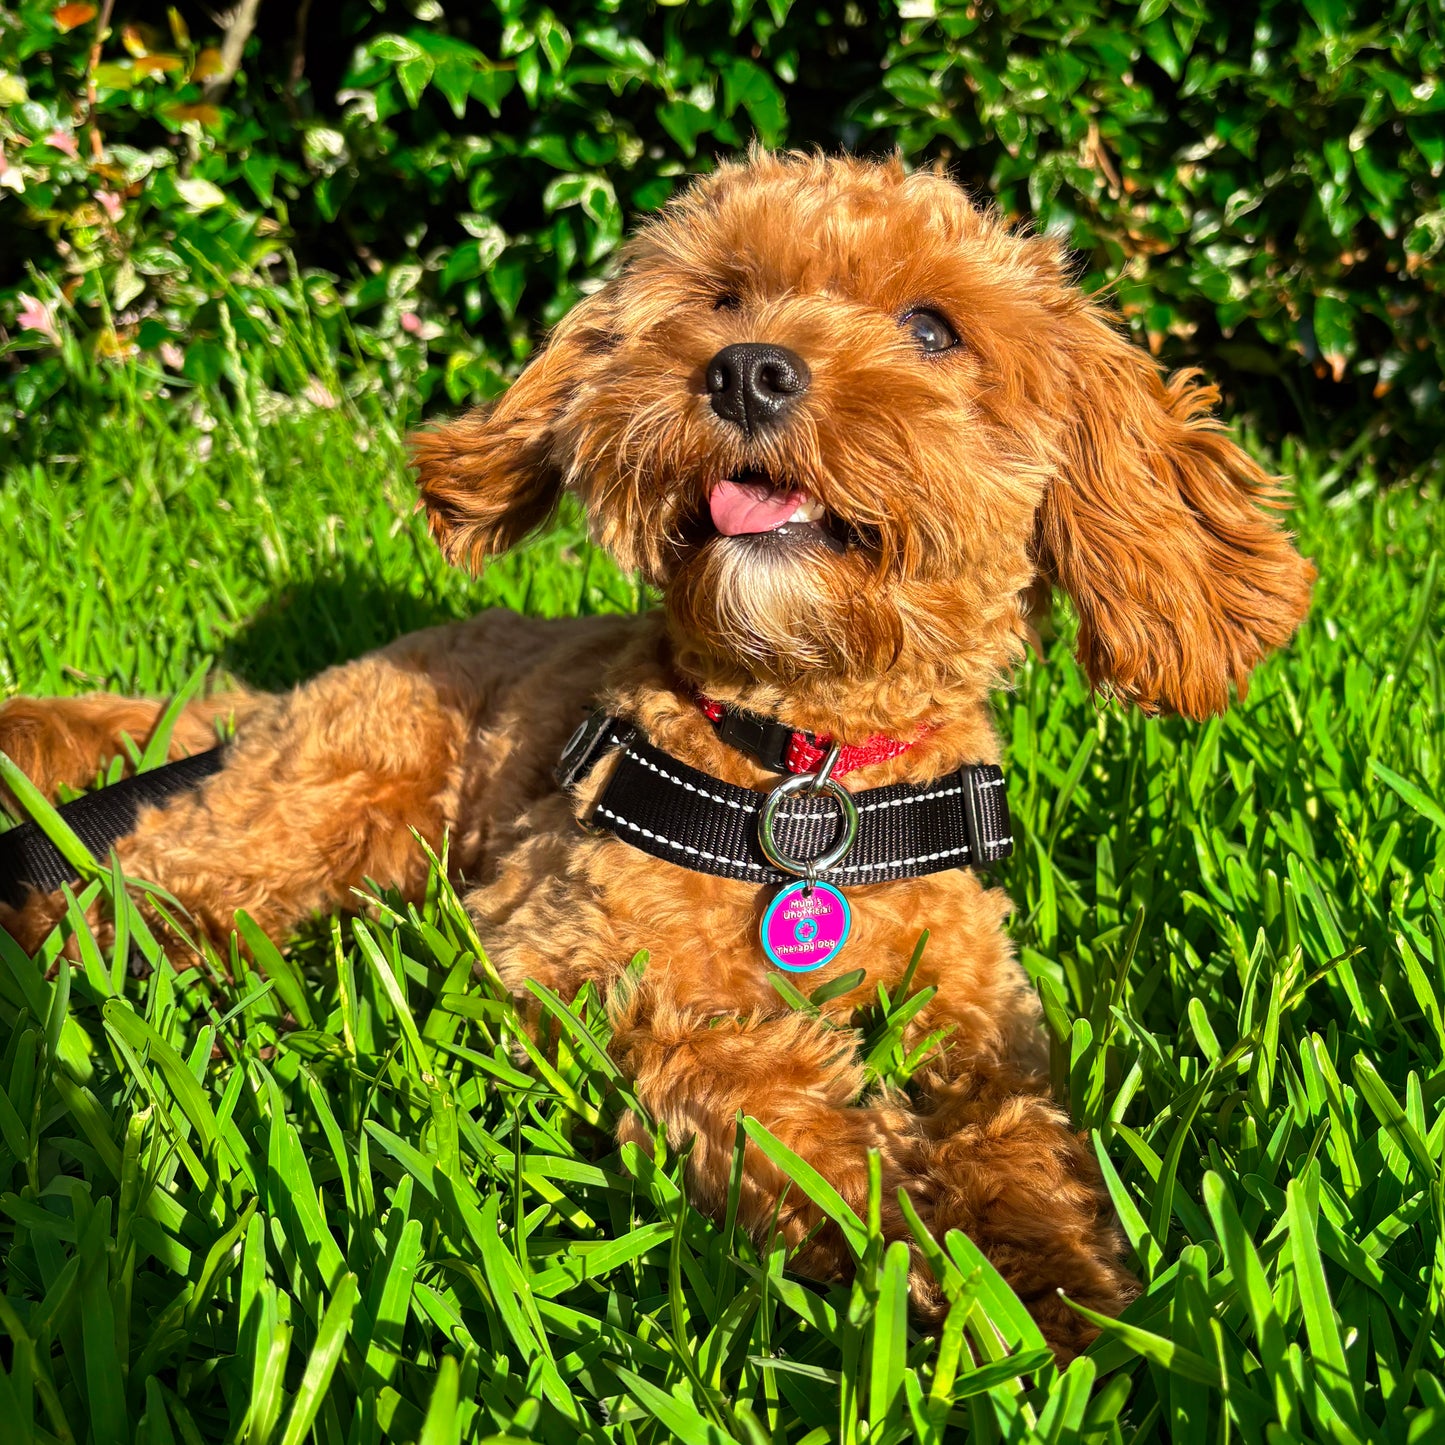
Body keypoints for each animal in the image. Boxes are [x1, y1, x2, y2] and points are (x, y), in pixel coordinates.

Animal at [0, 146, 1323, 1352]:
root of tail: (290, 694)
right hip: (321, 800)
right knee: (141, 883)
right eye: (724, 297)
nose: (746, 368)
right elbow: (744, 1072)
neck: (802, 775)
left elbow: (1015, 1125)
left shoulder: (975, 996)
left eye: (932, 327)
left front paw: (1051, 1287)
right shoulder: (556, 947)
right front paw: (898, 1230)